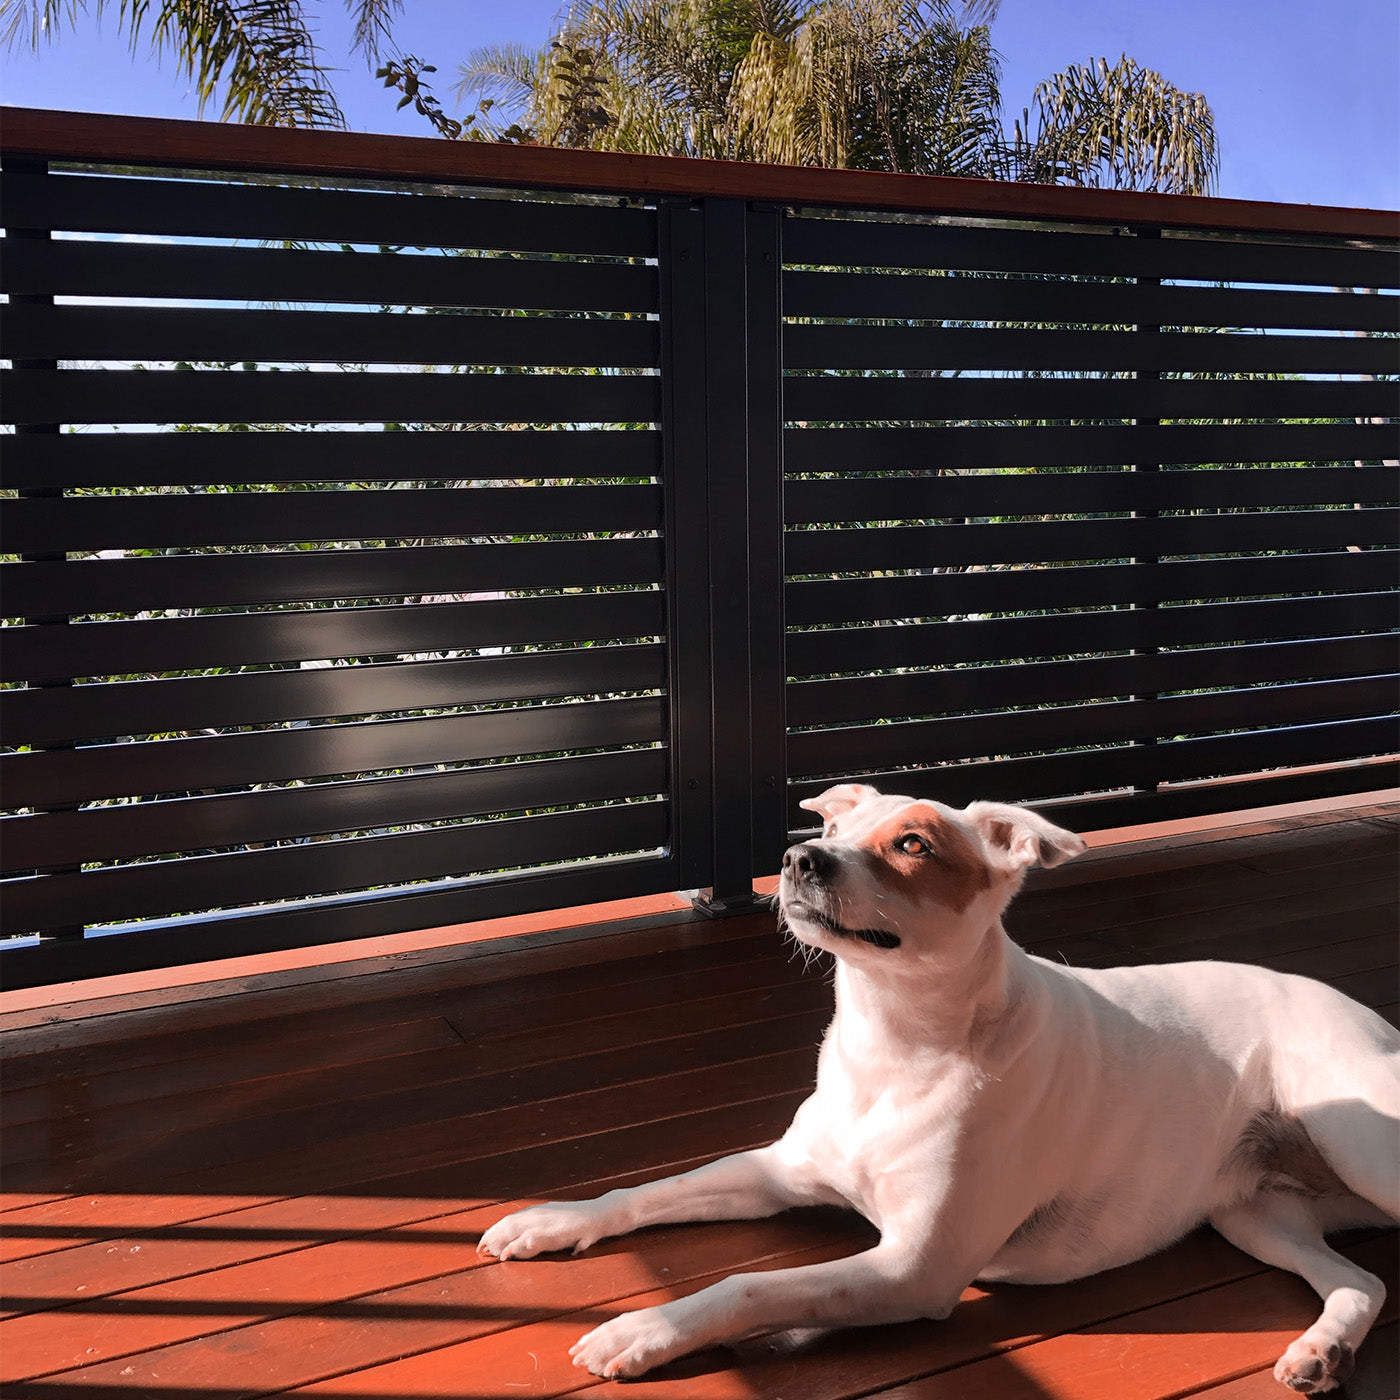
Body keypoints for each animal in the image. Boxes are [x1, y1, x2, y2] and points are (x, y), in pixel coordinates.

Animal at [481, 789, 1400, 1388]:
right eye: (834, 825)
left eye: (913, 844)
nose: (798, 857)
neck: (895, 1045)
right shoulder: (778, 1170)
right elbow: (647, 1191)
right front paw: (552, 1221)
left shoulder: (911, 1268)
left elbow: (751, 1285)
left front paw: (646, 1327)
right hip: (1256, 1211)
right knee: (1363, 1281)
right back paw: (1321, 1351)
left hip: (1356, 1138)